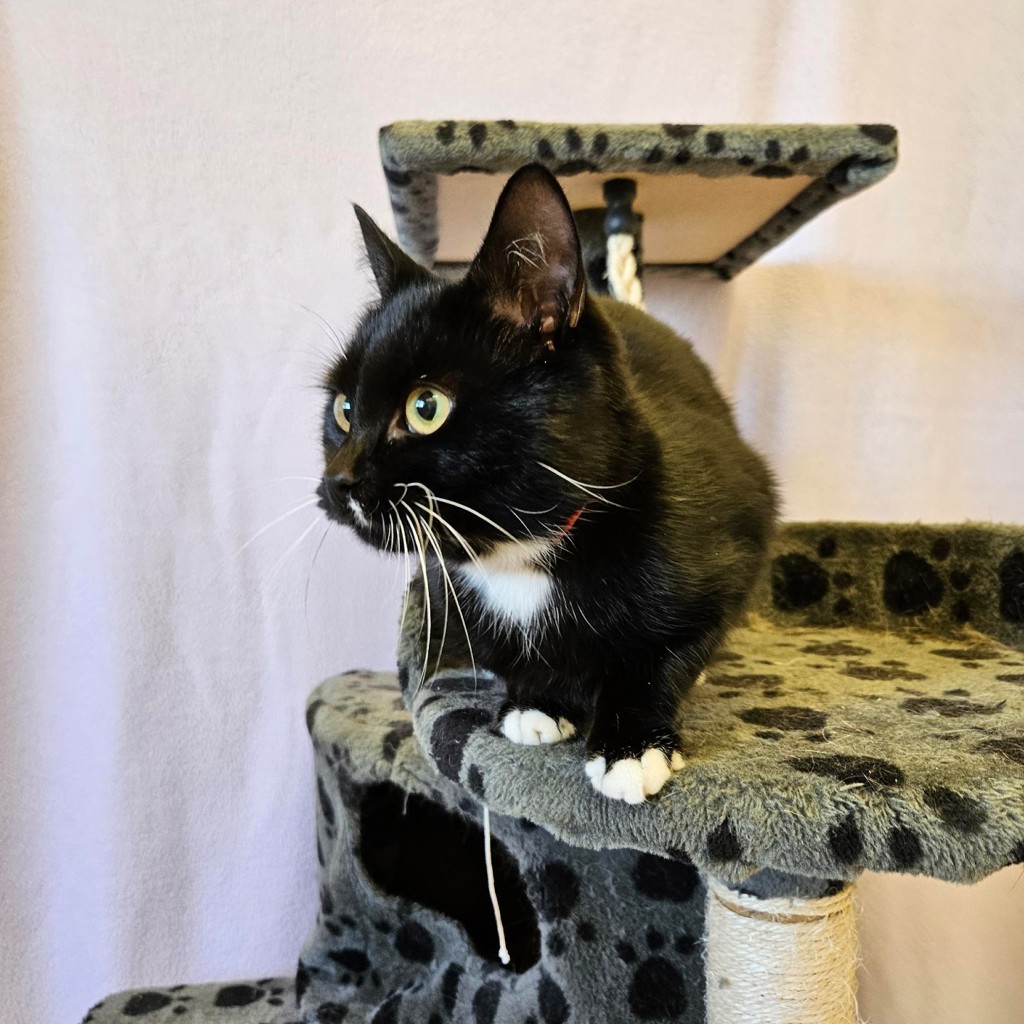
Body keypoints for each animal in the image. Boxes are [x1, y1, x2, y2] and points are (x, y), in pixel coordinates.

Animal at [317, 165, 777, 803]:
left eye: (425, 407)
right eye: (342, 410)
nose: (339, 480)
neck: (522, 554)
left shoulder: (738, 522)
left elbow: (668, 651)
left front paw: (632, 743)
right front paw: (539, 701)